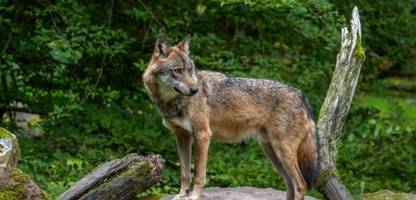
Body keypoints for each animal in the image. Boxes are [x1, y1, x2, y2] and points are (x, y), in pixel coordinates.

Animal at [143, 34, 318, 200]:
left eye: (190, 70)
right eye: (178, 70)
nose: (195, 90)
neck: (171, 102)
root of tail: (301, 95)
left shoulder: (202, 135)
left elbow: (199, 173)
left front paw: (193, 196)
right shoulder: (182, 136)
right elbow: (185, 173)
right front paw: (181, 195)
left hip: (281, 151)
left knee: (300, 184)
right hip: (272, 152)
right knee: (289, 183)